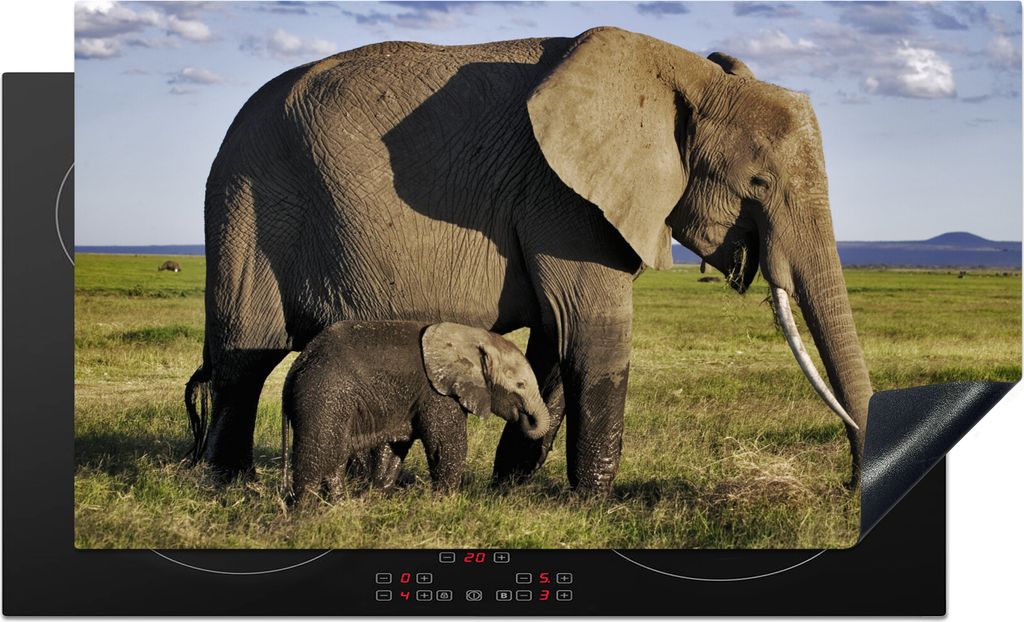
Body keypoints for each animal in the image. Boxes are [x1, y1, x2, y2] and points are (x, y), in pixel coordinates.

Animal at [281, 321, 551, 505]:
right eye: (520, 385)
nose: (524, 419)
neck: (472, 336)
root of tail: (297, 366)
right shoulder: (437, 392)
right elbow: (446, 445)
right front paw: (446, 502)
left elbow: (394, 448)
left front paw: (377, 496)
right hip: (323, 396)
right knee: (318, 454)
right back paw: (306, 513)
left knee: (335, 456)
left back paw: (338, 505)